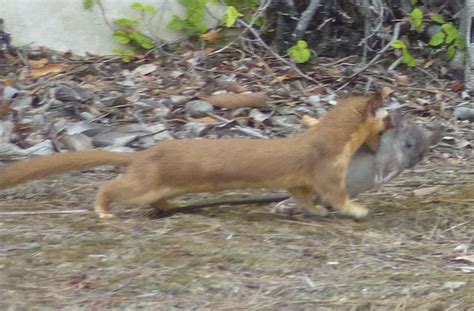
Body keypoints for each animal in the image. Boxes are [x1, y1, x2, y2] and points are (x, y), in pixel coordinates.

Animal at [0, 92, 390, 219]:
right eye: (386, 121)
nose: (392, 124)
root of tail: (145, 153)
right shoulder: (326, 167)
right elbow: (335, 193)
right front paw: (358, 209)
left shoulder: (299, 180)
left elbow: (304, 196)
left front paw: (316, 211)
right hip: (144, 181)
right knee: (113, 188)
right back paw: (104, 210)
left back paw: (170, 207)